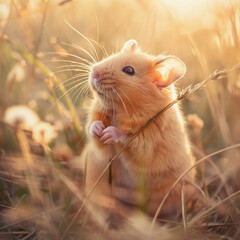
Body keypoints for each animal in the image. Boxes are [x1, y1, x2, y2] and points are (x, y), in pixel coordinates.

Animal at [83, 39, 200, 218]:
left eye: (129, 70)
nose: (94, 72)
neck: (121, 110)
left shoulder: (148, 140)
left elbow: (130, 142)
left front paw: (110, 132)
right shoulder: (103, 151)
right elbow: (93, 130)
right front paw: (98, 129)